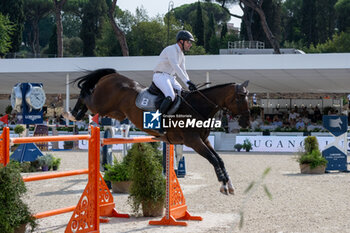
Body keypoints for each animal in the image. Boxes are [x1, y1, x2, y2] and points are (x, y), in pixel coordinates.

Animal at [63, 68, 249, 195]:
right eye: (240, 97)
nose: (246, 122)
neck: (198, 107)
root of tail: (112, 75)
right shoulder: (193, 141)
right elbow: (214, 160)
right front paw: (223, 185)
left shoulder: (204, 140)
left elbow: (219, 159)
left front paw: (229, 184)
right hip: (100, 104)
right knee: (86, 95)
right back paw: (71, 114)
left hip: (115, 112)